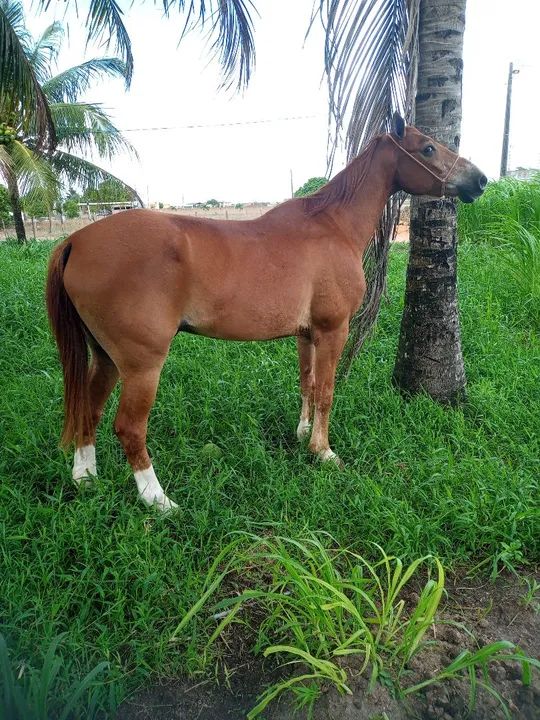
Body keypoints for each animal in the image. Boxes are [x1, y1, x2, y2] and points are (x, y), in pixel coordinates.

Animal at [46, 114, 486, 511]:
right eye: (427, 148)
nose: (480, 180)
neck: (333, 226)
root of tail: (76, 240)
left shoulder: (307, 333)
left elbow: (308, 384)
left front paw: (303, 436)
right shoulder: (333, 330)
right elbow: (327, 390)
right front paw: (324, 452)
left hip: (106, 358)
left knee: (89, 411)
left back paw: (86, 478)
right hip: (142, 365)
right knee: (129, 428)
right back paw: (158, 499)